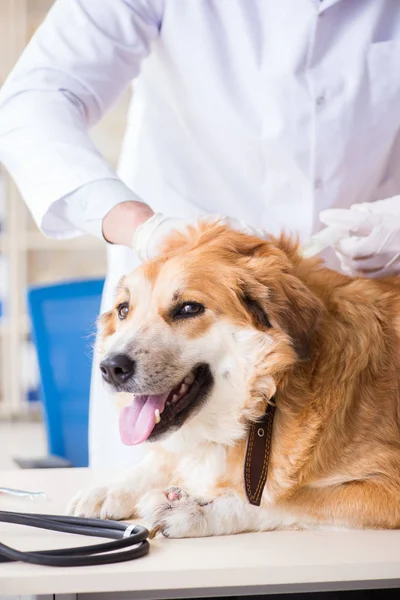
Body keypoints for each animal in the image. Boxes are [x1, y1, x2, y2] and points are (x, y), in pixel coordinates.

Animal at [70, 221, 400, 540]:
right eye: (124, 310)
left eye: (189, 308)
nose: (111, 367)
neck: (266, 395)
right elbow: (162, 460)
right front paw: (113, 487)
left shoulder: (387, 488)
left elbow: (281, 501)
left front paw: (196, 511)